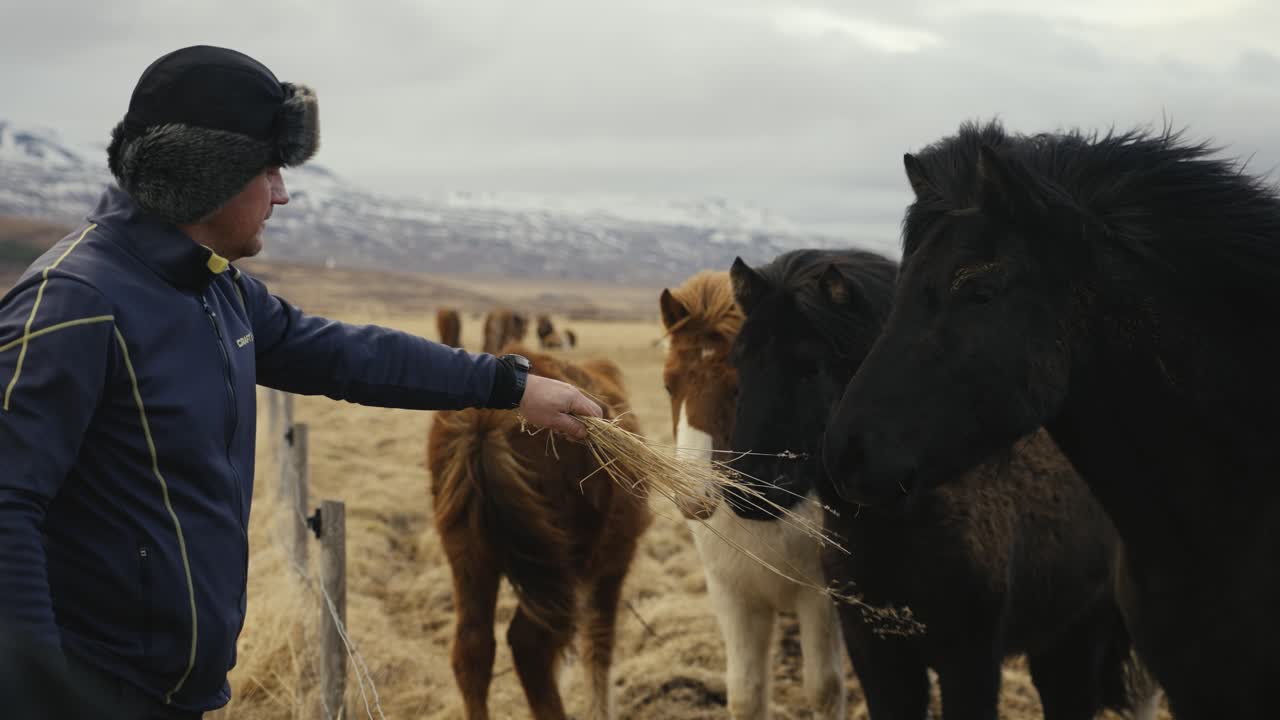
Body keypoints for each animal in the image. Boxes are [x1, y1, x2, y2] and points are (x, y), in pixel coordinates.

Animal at [428, 346, 653, 720]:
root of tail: (484, 422)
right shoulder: (612, 567)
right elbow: (599, 646)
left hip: (469, 551)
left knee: (472, 647)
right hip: (563, 564)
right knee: (530, 645)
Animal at [659, 270, 847, 720]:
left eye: (736, 387)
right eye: (669, 385)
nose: (692, 496)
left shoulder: (819, 596)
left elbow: (824, 689)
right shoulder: (734, 595)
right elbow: (745, 694)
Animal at [730, 248, 1159, 720]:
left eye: (812, 367)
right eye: (740, 361)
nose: (746, 489)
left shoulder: (970, 663)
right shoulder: (878, 656)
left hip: (1080, 636)